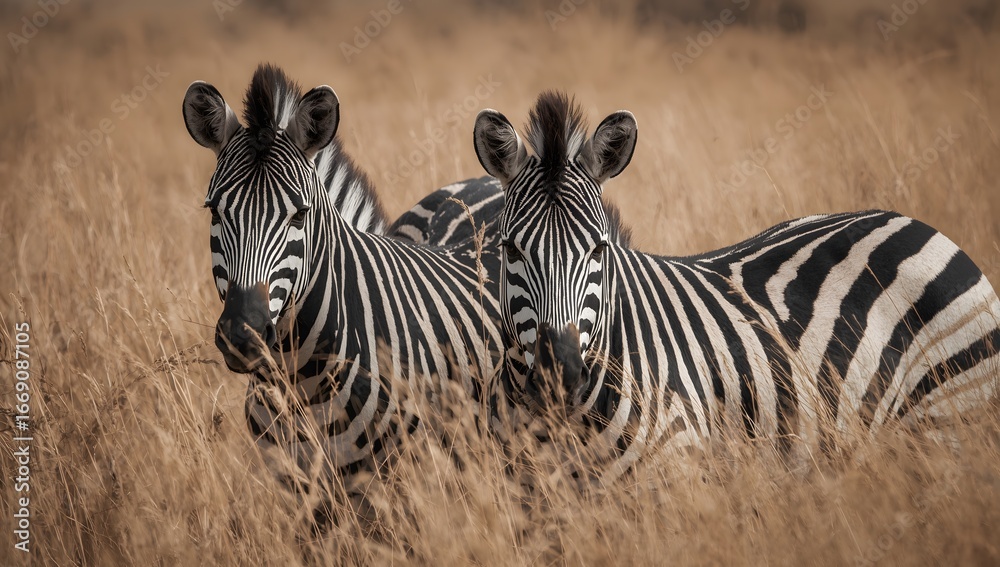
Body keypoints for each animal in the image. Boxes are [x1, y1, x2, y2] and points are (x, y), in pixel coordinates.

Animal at [473, 91, 1000, 482]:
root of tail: (919, 224)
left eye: (598, 251)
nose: (558, 377)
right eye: (511, 250)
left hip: (949, 422)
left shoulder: (674, 476)